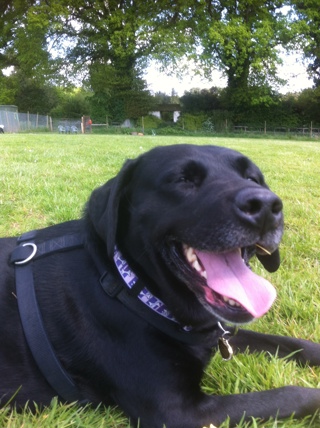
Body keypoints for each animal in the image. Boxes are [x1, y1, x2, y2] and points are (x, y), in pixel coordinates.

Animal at [0, 145, 320, 428]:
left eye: (253, 178)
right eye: (183, 179)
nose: (265, 206)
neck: (130, 286)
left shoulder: (213, 334)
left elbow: (286, 343)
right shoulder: (178, 412)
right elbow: (293, 395)